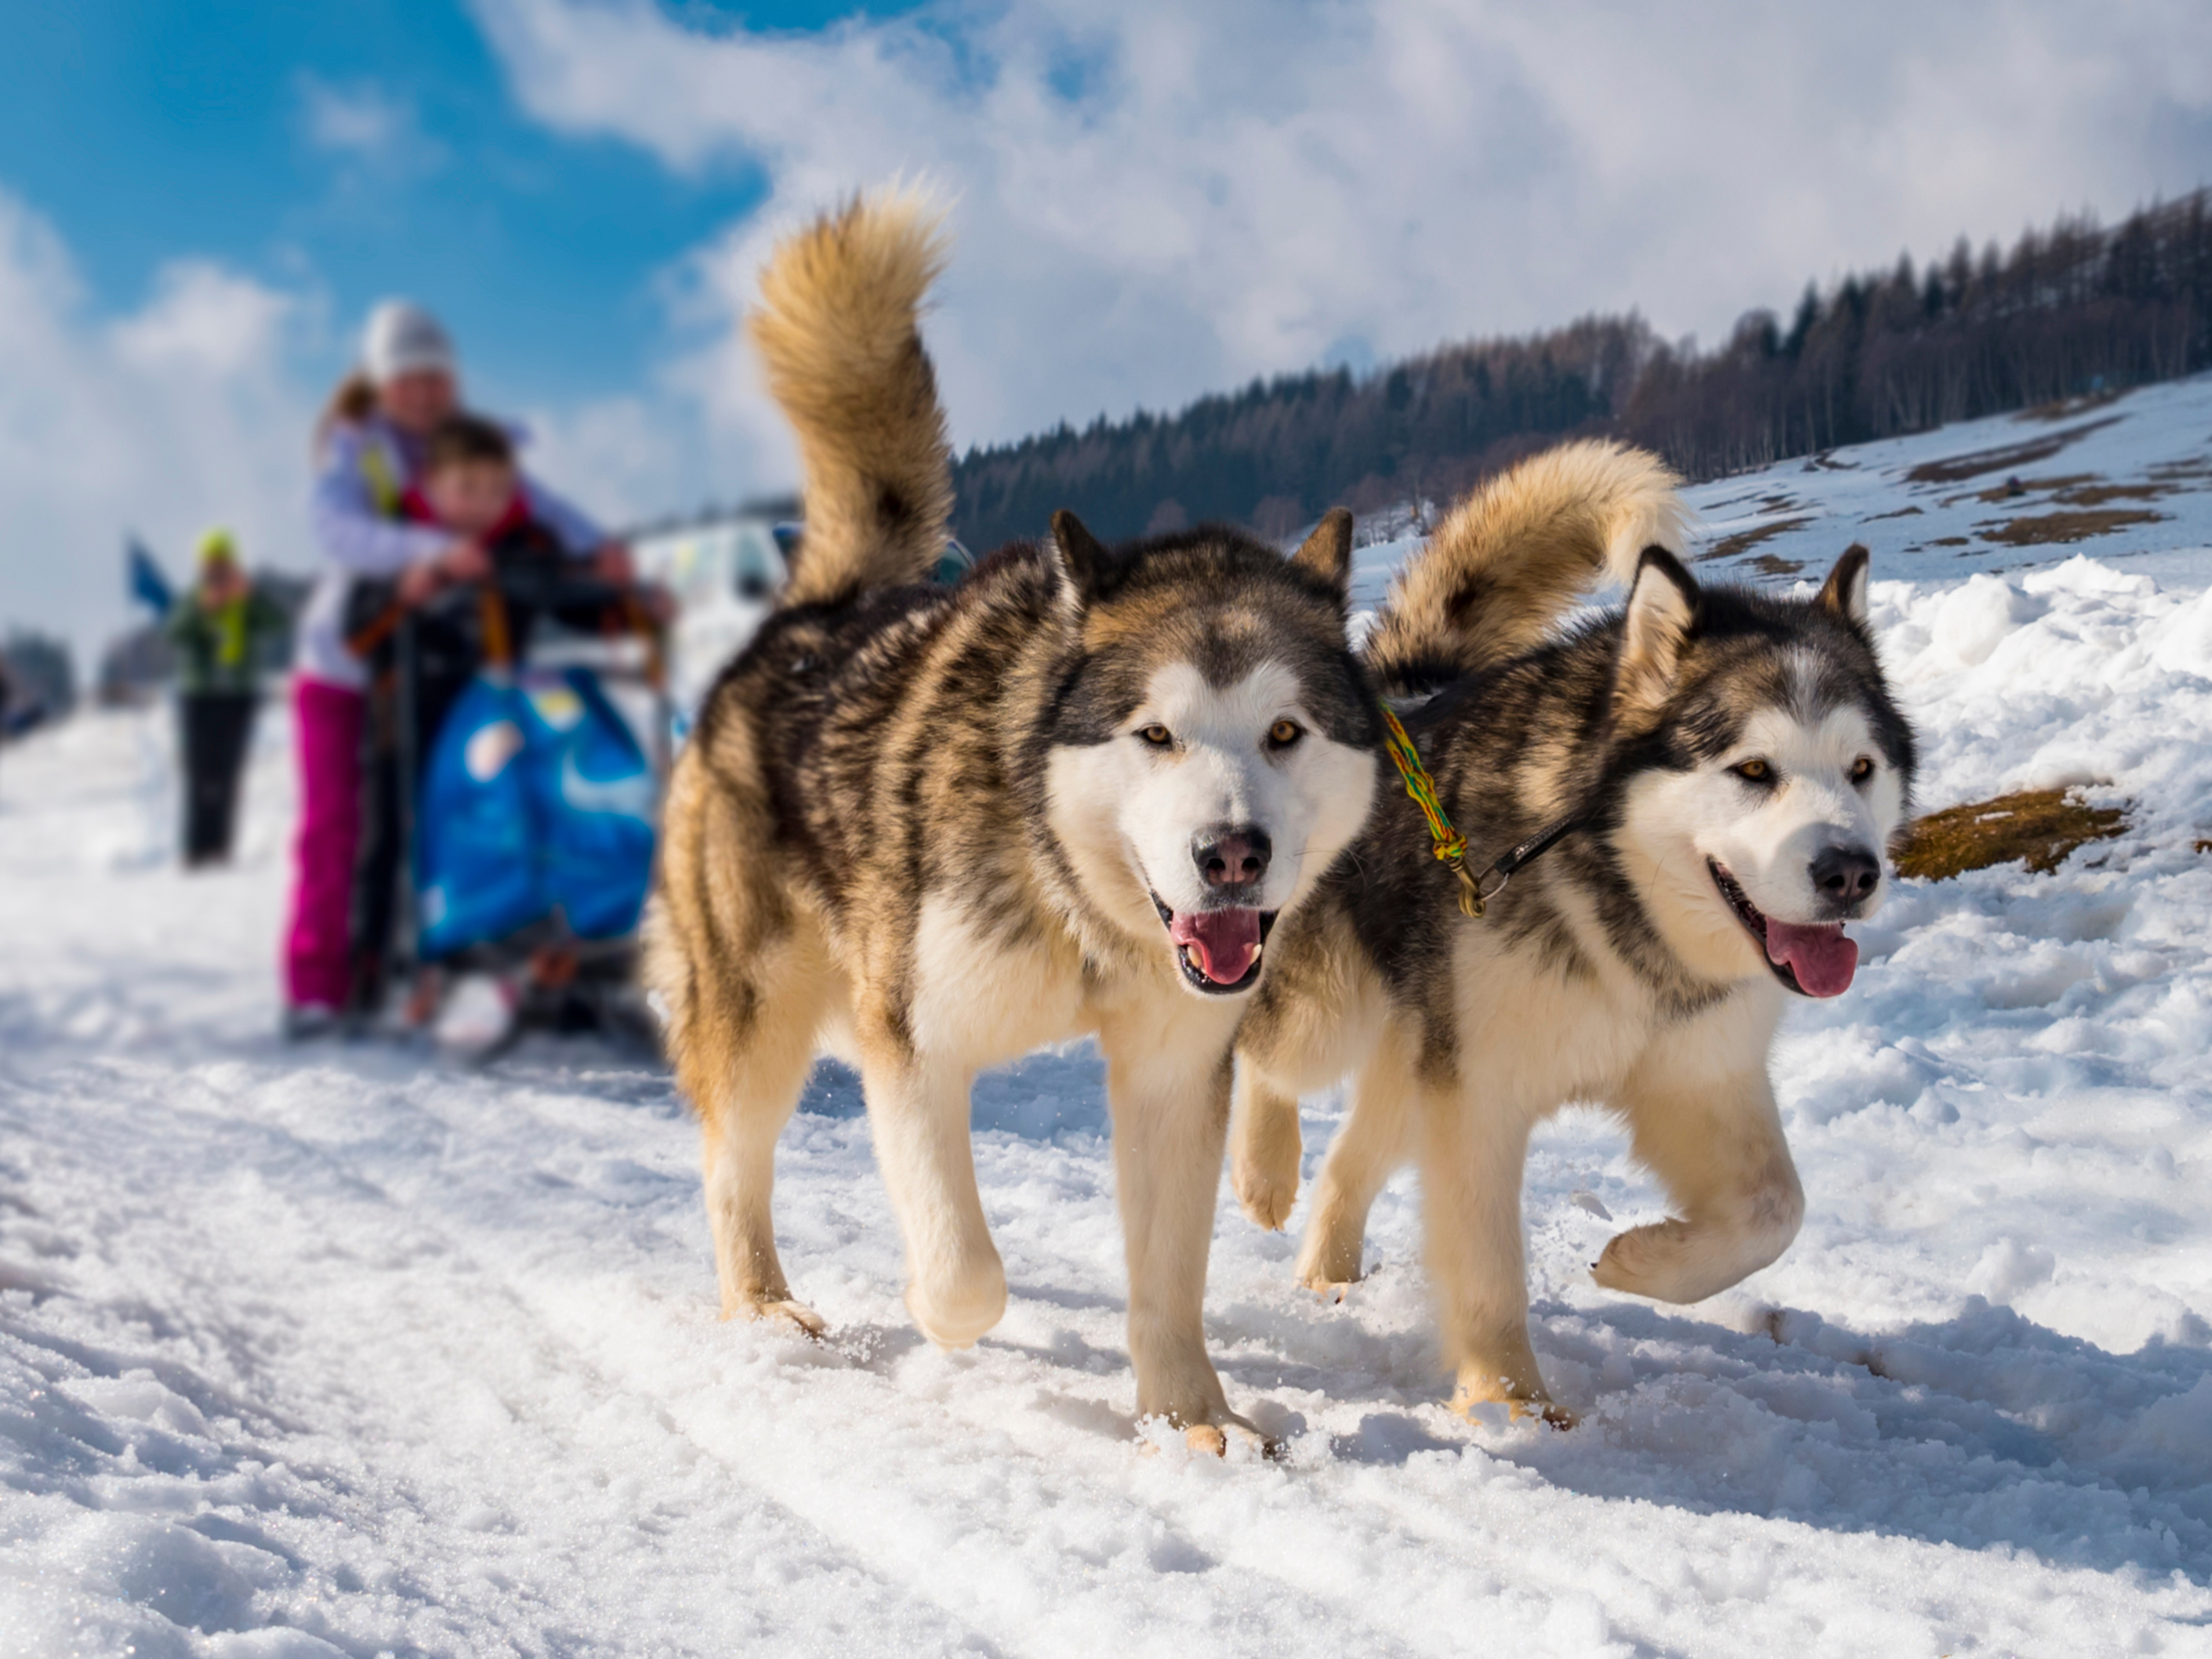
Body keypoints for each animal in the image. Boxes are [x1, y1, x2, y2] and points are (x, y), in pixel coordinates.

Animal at [636, 194, 1380, 1451]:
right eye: (1154, 734)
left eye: (1284, 732)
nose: (1232, 854)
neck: (1074, 899)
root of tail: (815, 613)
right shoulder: (915, 1044)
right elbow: (964, 1275)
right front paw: (934, 1316)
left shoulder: (1173, 1073)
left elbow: (1167, 1280)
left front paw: (1189, 1421)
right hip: (756, 1010)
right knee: (732, 1165)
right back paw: (764, 1308)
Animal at [1238, 444, 1911, 1433]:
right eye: (1752, 769)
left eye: (1859, 768)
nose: (1849, 873)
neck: (1624, 907)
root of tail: (1386, 696)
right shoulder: (1475, 1093)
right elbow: (1485, 1269)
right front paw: (1506, 1401)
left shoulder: (1698, 1070)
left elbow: (1772, 1210)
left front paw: (1642, 1261)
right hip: (1330, 1011)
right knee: (1266, 1052)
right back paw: (1263, 1170)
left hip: (1416, 1043)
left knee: (1354, 1150)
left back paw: (1327, 1268)